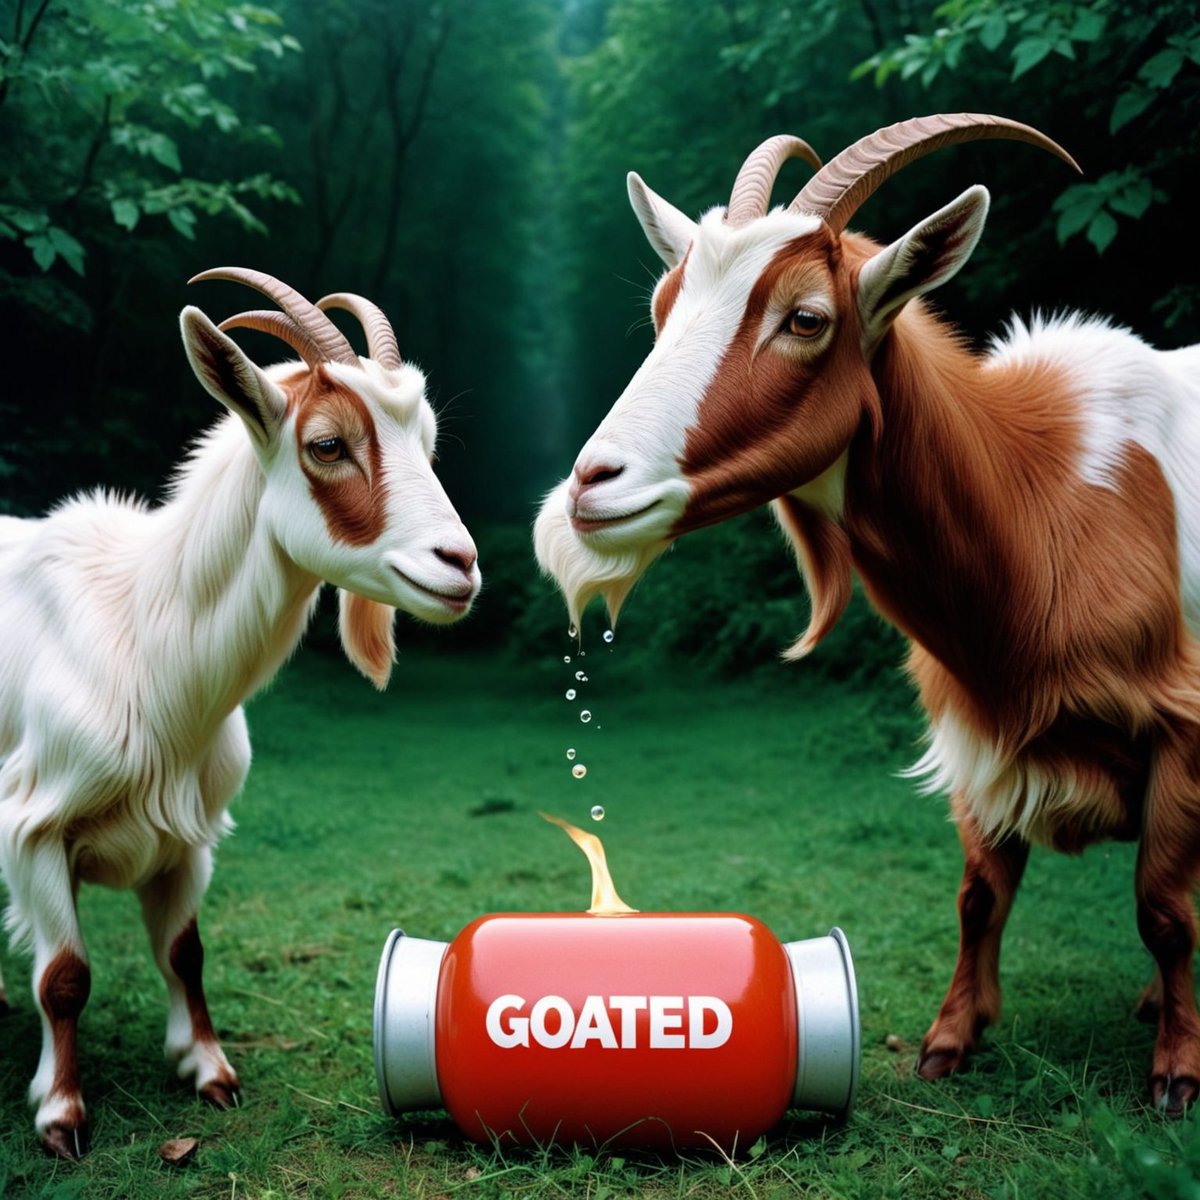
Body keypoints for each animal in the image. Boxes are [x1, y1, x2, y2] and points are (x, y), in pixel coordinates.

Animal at [0, 268, 480, 1157]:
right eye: (327, 444)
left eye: (426, 443)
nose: (459, 565)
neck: (145, 636)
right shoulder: (33, 825)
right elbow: (65, 976)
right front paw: (61, 1113)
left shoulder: (190, 833)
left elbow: (185, 951)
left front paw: (207, 1068)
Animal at [534, 114, 1200, 1112]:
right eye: (662, 307)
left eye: (806, 318)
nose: (590, 485)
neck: (1047, 507)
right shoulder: (975, 727)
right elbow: (979, 894)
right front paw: (951, 1040)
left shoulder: (1181, 727)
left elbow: (1163, 909)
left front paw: (1176, 1072)